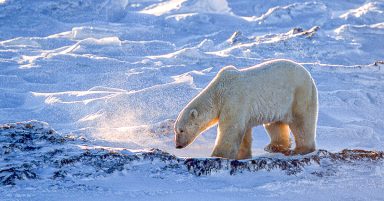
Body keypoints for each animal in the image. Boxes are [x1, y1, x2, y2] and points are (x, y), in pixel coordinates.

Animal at [174, 59, 318, 159]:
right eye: (175, 130)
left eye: (181, 130)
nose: (178, 146)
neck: (218, 92)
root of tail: (310, 76)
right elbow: (243, 132)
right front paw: (242, 155)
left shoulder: (234, 100)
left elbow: (230, 129)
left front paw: (217, 155)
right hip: (279, 102)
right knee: (275, 124)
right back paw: (273, 147)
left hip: (299, 95)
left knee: (301, 122)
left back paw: (301, 149)